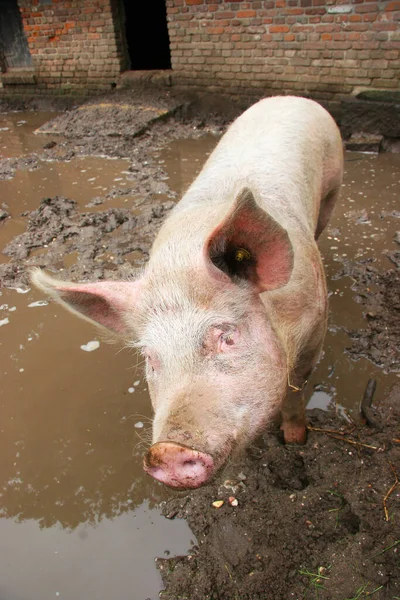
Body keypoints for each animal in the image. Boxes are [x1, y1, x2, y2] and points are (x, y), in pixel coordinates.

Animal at [32, 95, 344, 488]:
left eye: (227, 336)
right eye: (149, 357)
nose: (168, 450)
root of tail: (288, 98)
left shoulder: (315, 329)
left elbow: (295, 393)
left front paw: (295, 442)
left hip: (333, 185)